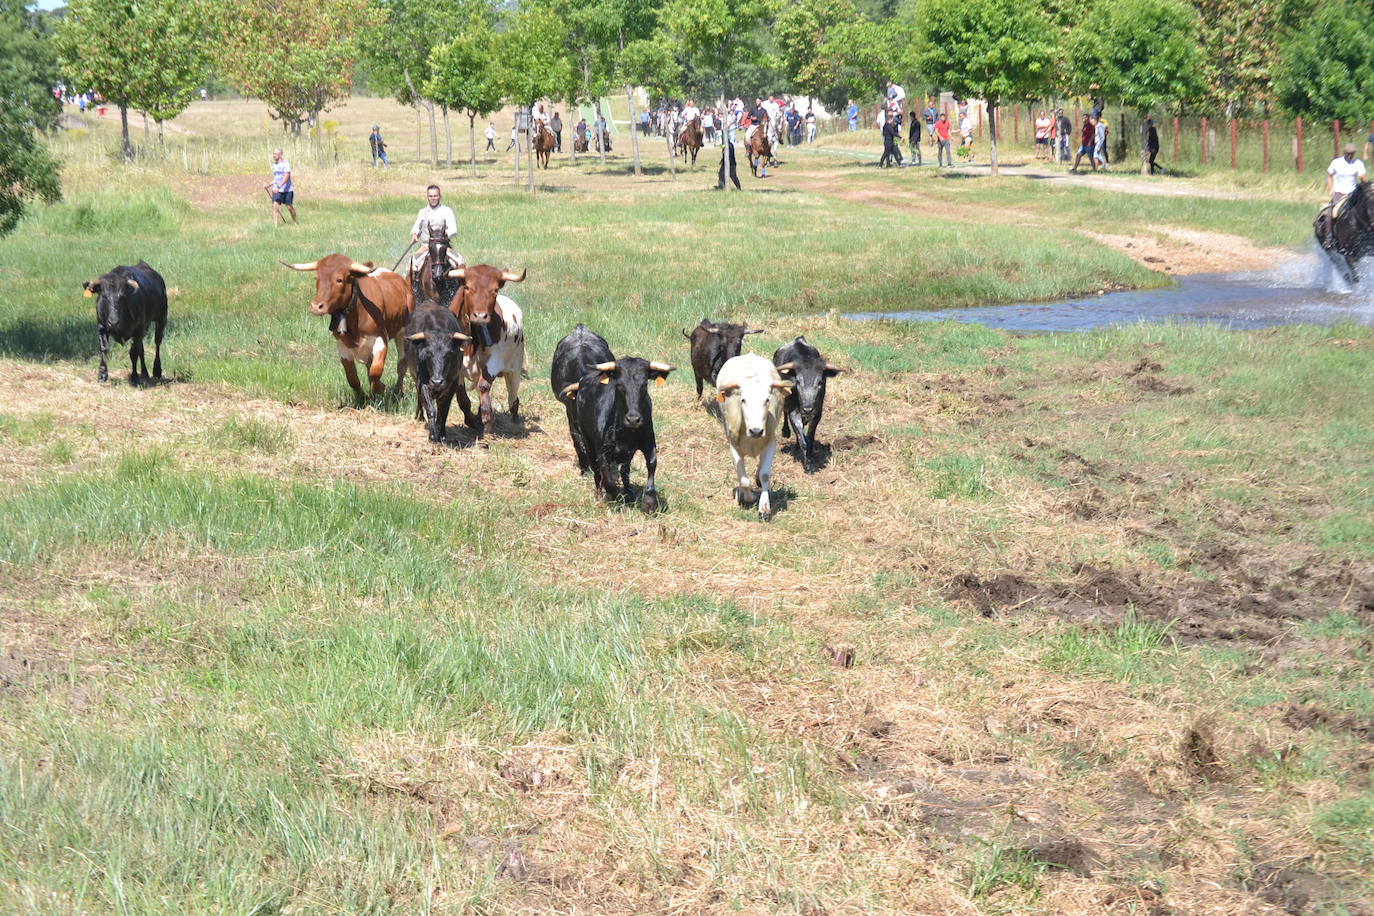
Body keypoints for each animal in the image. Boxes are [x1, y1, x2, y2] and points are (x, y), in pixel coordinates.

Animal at [276, 256, 409, 403]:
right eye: (317, 278)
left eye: (339, 279)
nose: (316, 307)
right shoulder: (342, 346)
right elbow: (352, 378)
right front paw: (363, 398)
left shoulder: (380, 338)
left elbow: (376, 370)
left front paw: (380, 388)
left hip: (403, 334)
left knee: (401, 365)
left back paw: (397, 392)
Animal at [403, 302, 469, 442]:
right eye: (428, 353)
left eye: (449, 354)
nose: (437, 382)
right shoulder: (423, 383)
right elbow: (431, 409)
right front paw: (433, 436)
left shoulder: (452, 385)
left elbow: (444, 411)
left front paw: (442, 434)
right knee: (420, 399)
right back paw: (419, 416)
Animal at [552, 346, 670, 513]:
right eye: (619, 385)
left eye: (644, 385)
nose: (633, 419)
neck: (626, 432)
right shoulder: (602, 451)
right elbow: (607, 478)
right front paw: (614, 497)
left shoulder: (648, 443)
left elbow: (652, 465)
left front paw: (649, 502)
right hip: (587, 441)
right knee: (596, 470)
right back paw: (600, 494)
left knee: (625, 472)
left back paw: (628, 495)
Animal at [774, 339, 835, 480]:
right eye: (798, 381)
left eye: (820, 382)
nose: (808, 409)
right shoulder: (793, 412)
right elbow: (803, 441)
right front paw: (808, 466)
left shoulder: (817, 413)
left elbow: (809, 439)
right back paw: (786, 432)